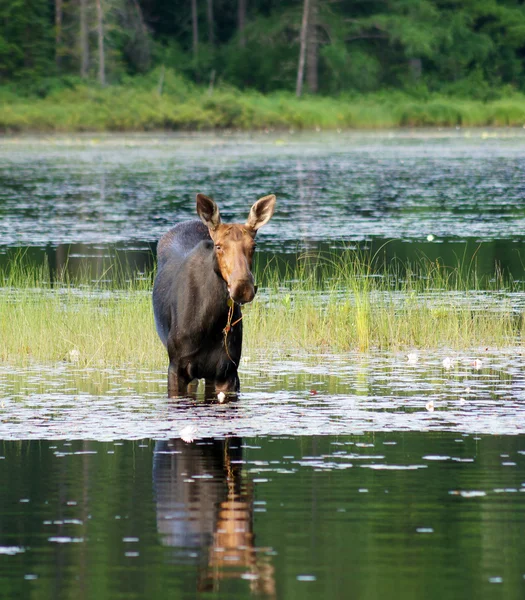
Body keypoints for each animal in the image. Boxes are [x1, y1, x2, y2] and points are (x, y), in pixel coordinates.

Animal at [150, 193, 274, 398]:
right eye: (218, 246)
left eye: (254, 246)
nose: (243, 286)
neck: (209, 321)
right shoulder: (176, 367)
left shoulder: (228, 370)